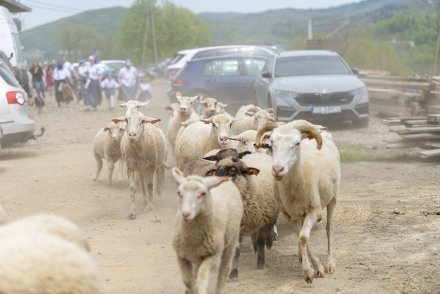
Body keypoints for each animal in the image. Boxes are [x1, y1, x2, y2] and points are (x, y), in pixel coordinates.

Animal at [254, 120, 340, 284]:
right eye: (271, 143)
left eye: (297, 143)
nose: (277, 169)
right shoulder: (289, 215)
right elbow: (301, 237)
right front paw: (314, 267)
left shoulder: (313, 210)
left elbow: (303, 237)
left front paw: (310, 271)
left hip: (332, 198)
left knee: (329, 229)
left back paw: (330, 264)